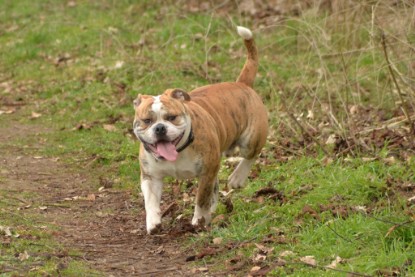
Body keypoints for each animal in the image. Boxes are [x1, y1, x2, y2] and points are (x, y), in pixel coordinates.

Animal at [133, 25, 270, 233]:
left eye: (171, 117)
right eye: (147, 121)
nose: (160, 128)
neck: (179, 150)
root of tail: (241, 84)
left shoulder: (206, 172)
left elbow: (201, 199)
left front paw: (198, 221)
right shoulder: (151, 177)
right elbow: (151, 201)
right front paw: (153, 222)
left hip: (250, 139)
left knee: (251, 155)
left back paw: (237, 178)